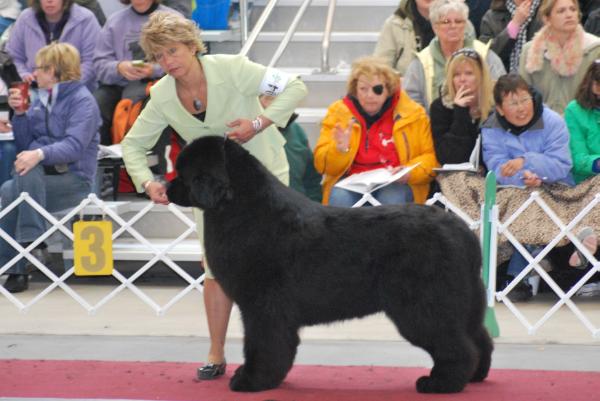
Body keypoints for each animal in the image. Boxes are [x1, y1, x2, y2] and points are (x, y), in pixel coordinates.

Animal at [168, 136, 492, 392]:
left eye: (185, 174)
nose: (166, 187)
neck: (241, 208)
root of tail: (463, 232)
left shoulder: (262, 306)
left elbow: (261, 343)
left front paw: (251, 380)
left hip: (424, 306)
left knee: (457, 345)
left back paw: (440, 383)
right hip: (462, 304)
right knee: (478, 338)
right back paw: (475, 376)